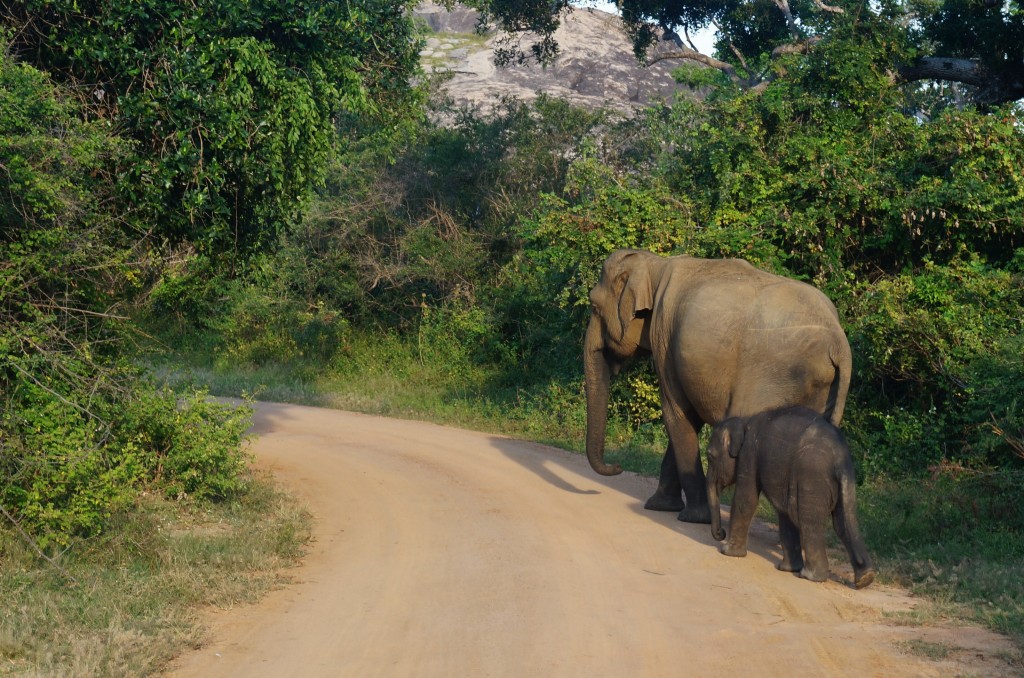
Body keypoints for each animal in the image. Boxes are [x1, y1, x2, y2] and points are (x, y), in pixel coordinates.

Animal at [585, 249, 847, 524]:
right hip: (818, 386)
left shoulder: (664, 338)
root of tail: (838, 341)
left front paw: (693, 517)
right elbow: (689, 419)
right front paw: (660, 506)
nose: (617, 467)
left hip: (774, 378)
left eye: (594, 306)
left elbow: (676, 414)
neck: (655, 264)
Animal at [708, 409, 876, 589]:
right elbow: (784, 513)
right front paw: (786, 569)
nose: (721, 533)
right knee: (843, 522)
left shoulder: (749, 453)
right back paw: (865, 578)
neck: (745, 419)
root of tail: (839, 458)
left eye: (710, 456)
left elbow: (747, 499)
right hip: (846, 481)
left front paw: (727, 552)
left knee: (808, 520)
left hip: (811, 477)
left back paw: (810, 576)